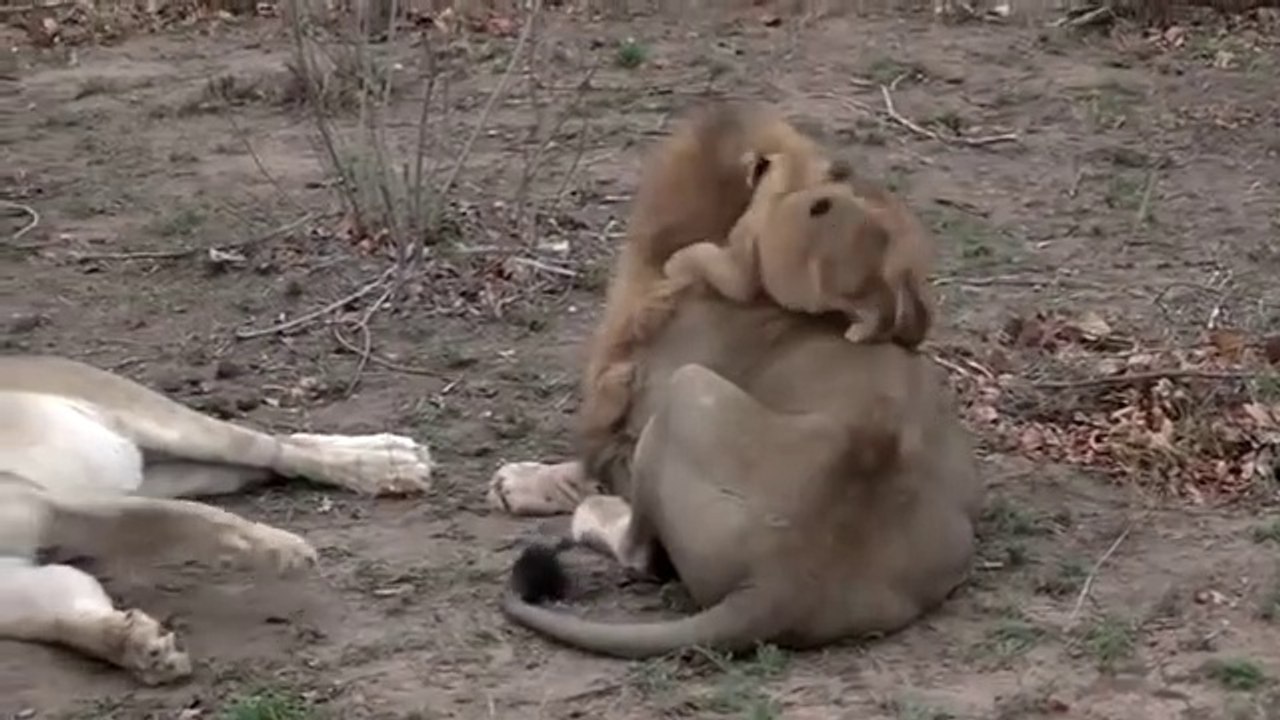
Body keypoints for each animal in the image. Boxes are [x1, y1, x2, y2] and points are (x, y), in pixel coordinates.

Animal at [0, 355, 434, 684]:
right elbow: (61, 616)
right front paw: (141, 646)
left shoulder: (45, 504)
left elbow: (176, 518)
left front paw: (279, 548)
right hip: (173, 472)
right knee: (259, 467)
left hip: (166, 425)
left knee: (274, 447)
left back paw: (388, 463)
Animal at [662, 149, 934, 349]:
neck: (794, 181)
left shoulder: (741, 265)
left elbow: (706, 255)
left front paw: (673, 265)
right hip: (906, 280)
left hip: (833, 277)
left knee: (879, 309)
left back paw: (858, 332)